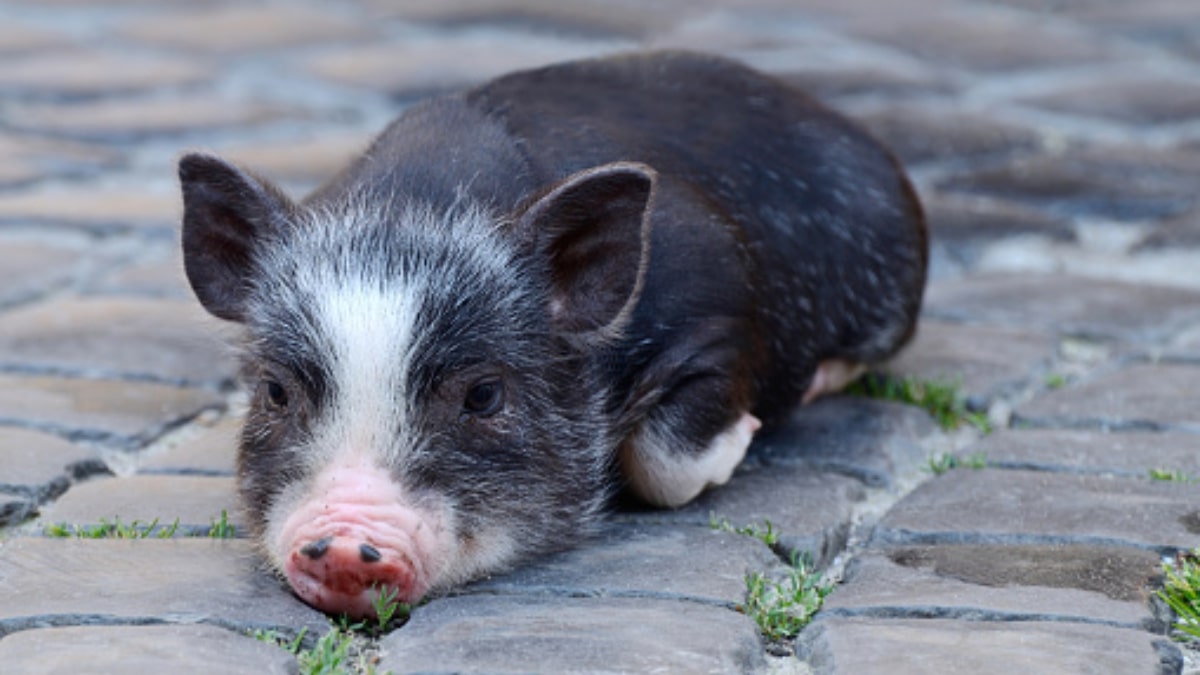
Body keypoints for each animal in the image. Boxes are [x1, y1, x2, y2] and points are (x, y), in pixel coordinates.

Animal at [177, 49, 926, 619]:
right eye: (274, 391)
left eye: (483, 395)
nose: (340, 545)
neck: (418, 204)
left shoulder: (723, 315)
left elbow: (666, 463)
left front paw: (747, 430)